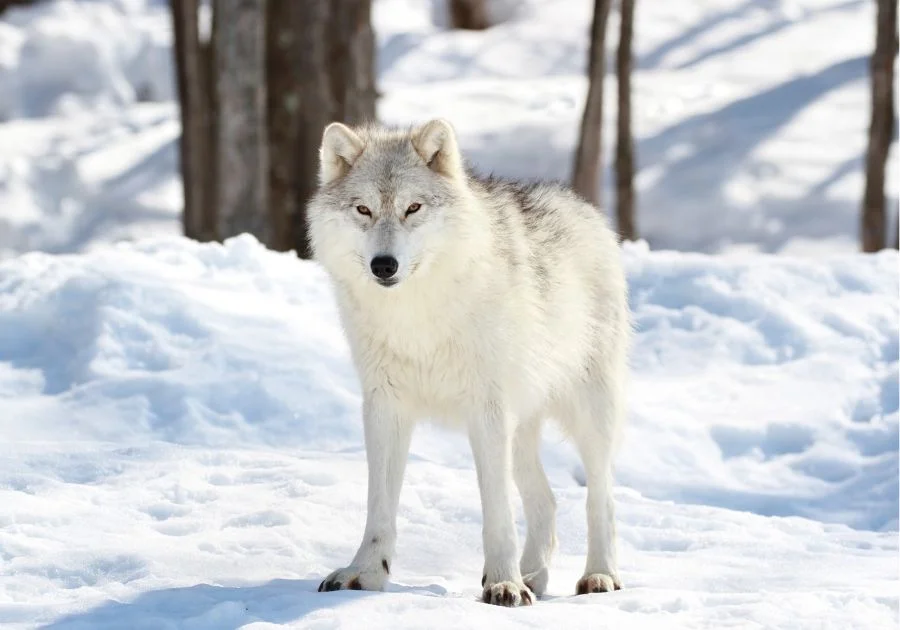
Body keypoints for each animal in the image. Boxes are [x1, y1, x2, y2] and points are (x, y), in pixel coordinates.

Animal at [310, 118, 632, 608]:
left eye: (413, 208)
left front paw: (502, 584)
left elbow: (497, 512)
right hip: (521, 430)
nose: (384, 265)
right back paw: (533, 575)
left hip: (588, 415)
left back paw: (598, 576)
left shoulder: (488, 411)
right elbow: (378, 508)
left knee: (602, 498)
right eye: (363, 210)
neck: (416, 317)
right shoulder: (384, 407)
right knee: (547, 500)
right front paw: (363, 574)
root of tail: (584, 208)